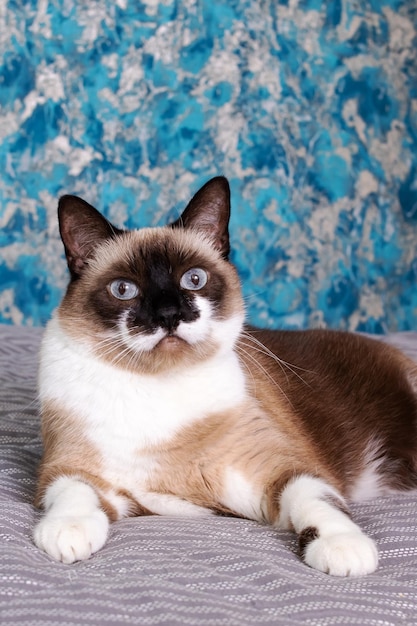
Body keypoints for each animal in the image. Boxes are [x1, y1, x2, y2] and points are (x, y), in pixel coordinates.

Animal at [34, 176, 416, 576]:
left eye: (194, 279)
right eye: (124, 289)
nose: (169, 315)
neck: (160, 389)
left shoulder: (282, 469)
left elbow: (320, 502)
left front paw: (344, 549)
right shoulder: (72, 470)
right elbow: (73, 492)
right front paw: (67, 534)